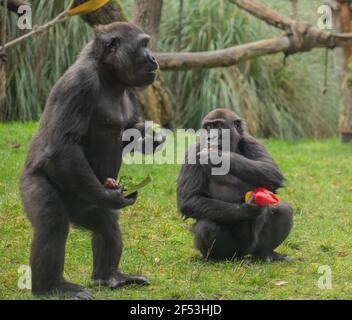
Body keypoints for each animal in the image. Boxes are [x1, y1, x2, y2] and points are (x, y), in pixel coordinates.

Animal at [19, 23, 162, 300]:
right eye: (143, 44)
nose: (153, 58)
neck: (107, 74)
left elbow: (131, 130)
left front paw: (151, 138)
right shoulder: (79, 84)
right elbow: (63, 145)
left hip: (85, 202)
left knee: (106, 224)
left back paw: (109, 276)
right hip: (34, 184)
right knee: (52, 225)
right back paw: (50, 287)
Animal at [177, 109, 292, 262]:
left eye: (219, 126)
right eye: (208, 128)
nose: (210, 138)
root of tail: (244, 255)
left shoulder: (252, 141)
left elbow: (271, 171)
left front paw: (219, 156)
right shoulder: (193, 152)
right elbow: (189, 199)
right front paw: (248, 209)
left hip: (253, 247)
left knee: (284, 210)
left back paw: (266, 253)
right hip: (234, 252)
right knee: (206, 226)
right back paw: (218, 259)